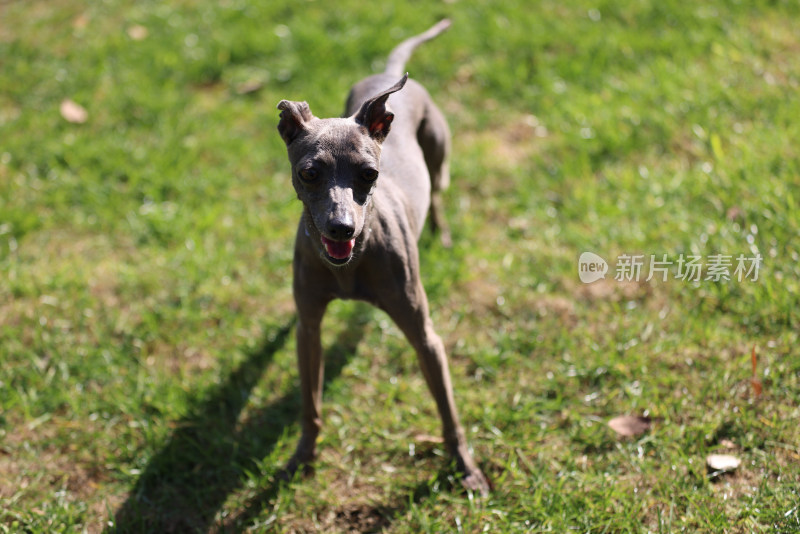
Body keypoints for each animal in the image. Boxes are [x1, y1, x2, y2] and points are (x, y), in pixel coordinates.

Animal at [276, 19, 488, 498]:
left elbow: (448, 412)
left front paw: (465, 466)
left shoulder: (425, 336)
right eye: (308, 172)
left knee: (439, 192)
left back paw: (442, 234)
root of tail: (387, 76)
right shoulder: (309, 330)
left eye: (370, 174)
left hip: (439, 160)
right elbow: (310, 405)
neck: (350, 267)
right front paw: (302, 457)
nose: (341, 228)